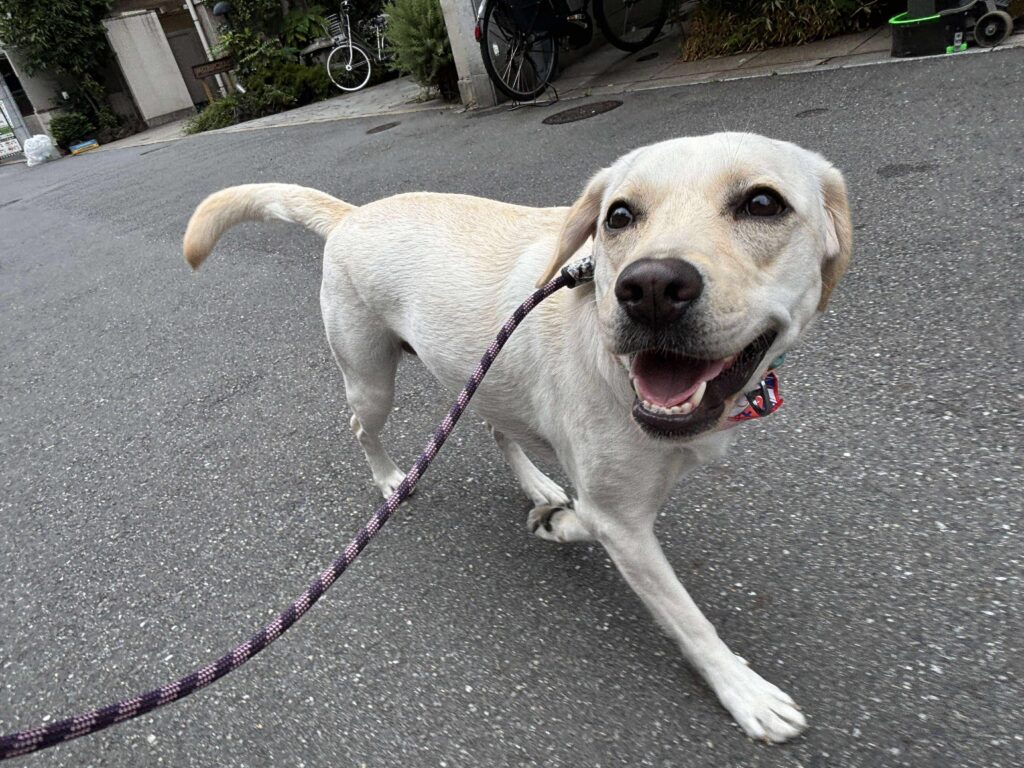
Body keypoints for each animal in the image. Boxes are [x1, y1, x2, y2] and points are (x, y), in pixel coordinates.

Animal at [183, 132, 851, 742]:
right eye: (619, 215)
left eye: (763, 204)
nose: (652, 289)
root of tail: (352, 214)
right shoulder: (621, 519)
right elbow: (687, 618)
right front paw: (743, 690)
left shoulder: (623, 505)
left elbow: (589, 517)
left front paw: (556, 517)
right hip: (371, 381)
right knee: (362, 428)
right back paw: (392, 480)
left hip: (482, 374)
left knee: (496, 429)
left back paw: (537, 487)